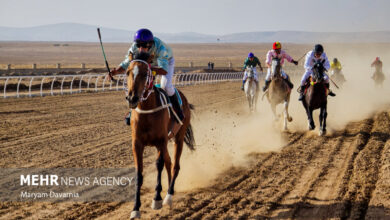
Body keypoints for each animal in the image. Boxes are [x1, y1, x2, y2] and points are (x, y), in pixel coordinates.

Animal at [125, 52, 194, 218]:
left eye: (145, 73)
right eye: (128, 72)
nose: (132, 98)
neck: (147, 110)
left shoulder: (161, 141)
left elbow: (159, 164)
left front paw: (157, 199)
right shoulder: (137, 144)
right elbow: (139, 173)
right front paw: (135, 208)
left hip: (178, 138)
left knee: (175, 165)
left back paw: (168, 195)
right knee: (170, 163)